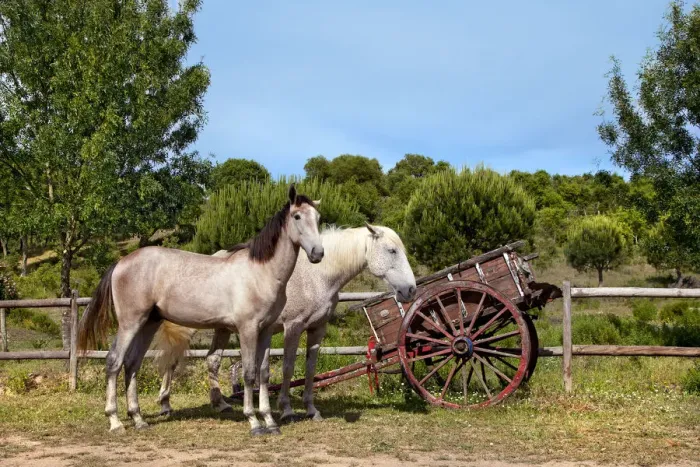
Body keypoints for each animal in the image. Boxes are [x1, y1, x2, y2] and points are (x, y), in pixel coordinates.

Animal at [77, 185, 324, 436]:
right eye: (297, 216)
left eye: (318, 218)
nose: (318, 253)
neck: (261, 272)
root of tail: (121, 263)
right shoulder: (247, 330)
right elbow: (249, 373)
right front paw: (254, 422)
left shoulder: (265, 331)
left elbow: (263, 374)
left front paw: (270, 422)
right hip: (130, 323)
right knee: (114, 362)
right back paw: (115, 421)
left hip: (148, 323)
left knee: (132, 364)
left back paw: (138, 419)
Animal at [153, 223, 416, 422]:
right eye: (392, 250)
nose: (410, 290)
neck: (317, 276)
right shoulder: (293, 327)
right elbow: (288, 367)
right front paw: (286, 409)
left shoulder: (316, 329)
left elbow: (310, 368)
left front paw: (311, 410)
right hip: (188, 326)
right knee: (173, 359)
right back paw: (165, 404)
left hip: (222, 328)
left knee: (212, 360)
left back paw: (220, 404)